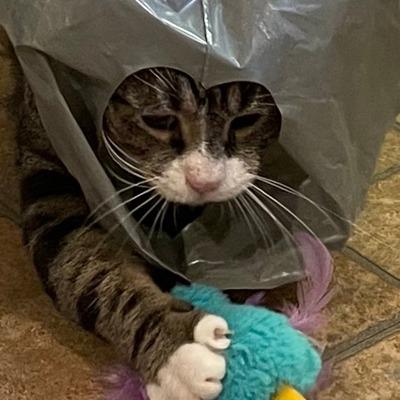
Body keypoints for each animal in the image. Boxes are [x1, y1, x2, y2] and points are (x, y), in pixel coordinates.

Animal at [17, 67, 281, 399]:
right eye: (159, 120)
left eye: (247, 120)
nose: (205, 182)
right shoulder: (50, 179)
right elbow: (87, 271)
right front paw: (177, 349)